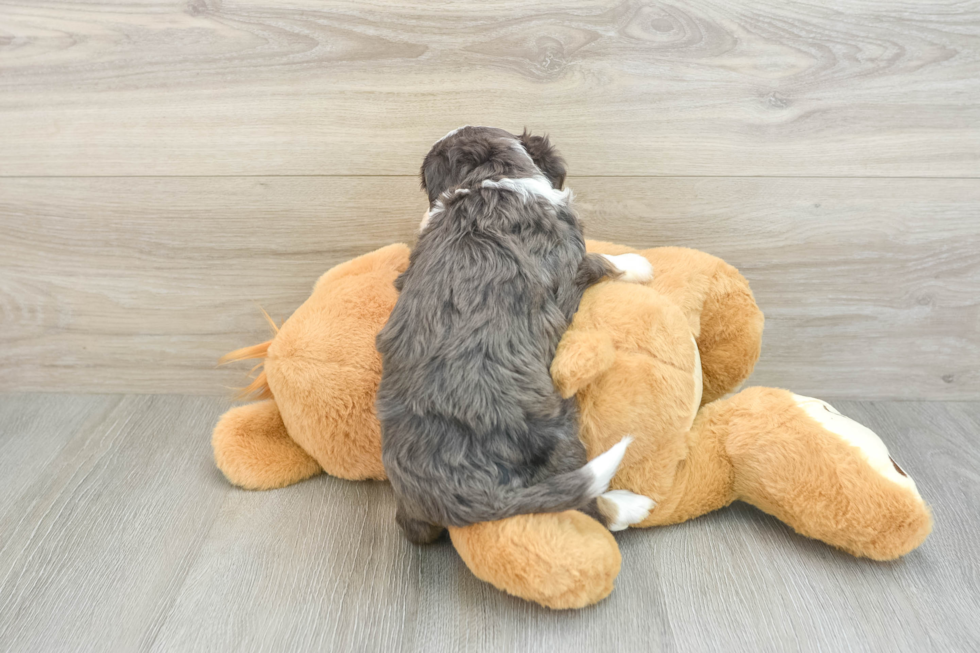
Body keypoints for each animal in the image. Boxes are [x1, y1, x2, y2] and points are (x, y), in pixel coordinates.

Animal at [376, 127, 660, 544]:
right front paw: (638, 263)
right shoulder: (572, 260)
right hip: (558, 434)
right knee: (586, 507)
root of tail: (460, 497)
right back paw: (628, 506)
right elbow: (603, 261)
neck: (489, 181)